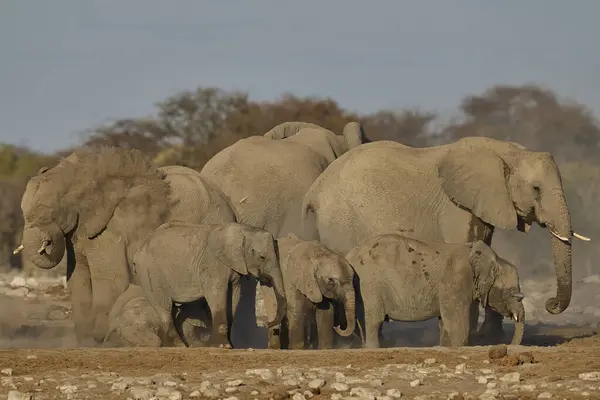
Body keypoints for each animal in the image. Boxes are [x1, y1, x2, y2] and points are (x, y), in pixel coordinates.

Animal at [14, 147, 237, 344]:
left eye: (50, 212)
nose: (46, 243)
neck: (81, 174)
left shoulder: (110, 229)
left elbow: (110, 278)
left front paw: (100, 340)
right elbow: (77, 278)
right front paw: (86, 342)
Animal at [132, 220, 288, 348]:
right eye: (262, 257)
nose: (266, 323)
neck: (242, 230)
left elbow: (234, 296)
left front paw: (230, 345)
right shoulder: (213, 263)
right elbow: (217, 293)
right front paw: (221, 346)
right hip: (149, 272)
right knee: (164, 307)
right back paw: (178, 345)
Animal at [346, 233, 524, 348]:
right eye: (511, 293)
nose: (509, 346)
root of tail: (350, 255)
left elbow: (445, 323)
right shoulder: (456, 282)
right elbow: (457, 325)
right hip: (369, 285)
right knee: (373, 321)